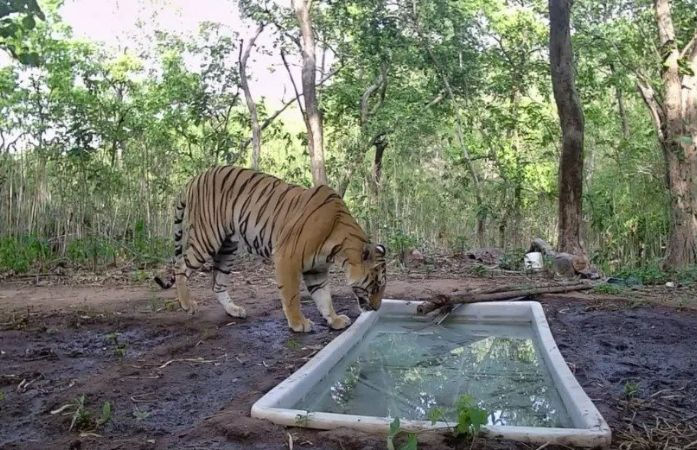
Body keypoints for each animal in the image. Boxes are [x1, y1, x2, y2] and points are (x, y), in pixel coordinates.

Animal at [154, 166, 387, 333]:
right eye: (375, 285)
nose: (377, 309)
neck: (338, 249)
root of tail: (195, 177)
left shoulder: (316, 269)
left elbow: (324, 297)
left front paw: (335, 319)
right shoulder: (287, 258)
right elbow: (291, 295)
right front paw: (299, 324)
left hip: (228, 247)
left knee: (217, 282)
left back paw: (234, 310)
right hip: (207, 239)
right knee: (180, 265)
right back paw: (187, 304)